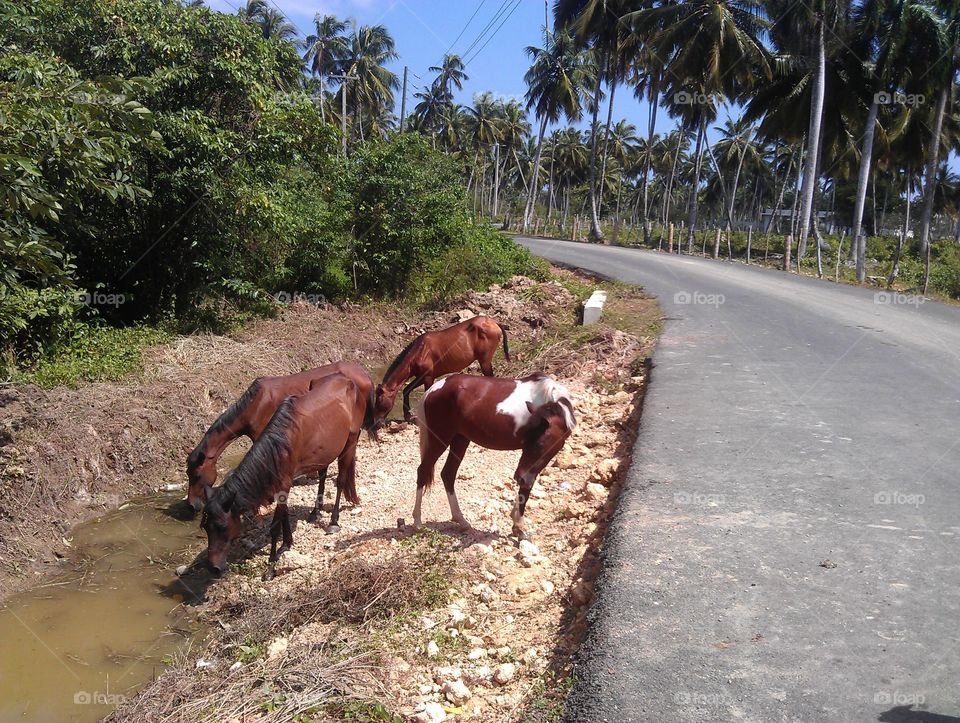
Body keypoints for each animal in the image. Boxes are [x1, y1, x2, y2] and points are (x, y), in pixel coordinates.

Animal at [201, 374, 366, 584]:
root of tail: (347, 381)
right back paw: (315, 512)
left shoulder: (283, 485)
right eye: (206, 527)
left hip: (350, 442)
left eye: (222, 527)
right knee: (322, 475)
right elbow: (284, 515)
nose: (212, 568)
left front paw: (271, 566)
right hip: (326, 450)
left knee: (341, 480)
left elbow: (274, 527)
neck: (279, 447)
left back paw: (333, 522)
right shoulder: (281, 486)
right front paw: (287, 544)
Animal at [374, 316, 510, 424]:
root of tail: (494, 323)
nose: (377, 423)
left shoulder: (427, 377)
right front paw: (408, 415)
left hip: (484, 362)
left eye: (379, 401)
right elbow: (406, 390)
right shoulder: (424, 377)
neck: (419, 351)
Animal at [408, 374, 572, 536]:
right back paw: (417, 523)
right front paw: (519, 526)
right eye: (527, 441)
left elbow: (526, 486)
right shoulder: (529, 467)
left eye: (539, 444)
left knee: (448, 474)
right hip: (440, 438)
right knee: (423, 471)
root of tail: (432, 389)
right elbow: (527, 487)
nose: (519, 477)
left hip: (460, 439)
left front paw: (516, 523)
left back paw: (462, 522)